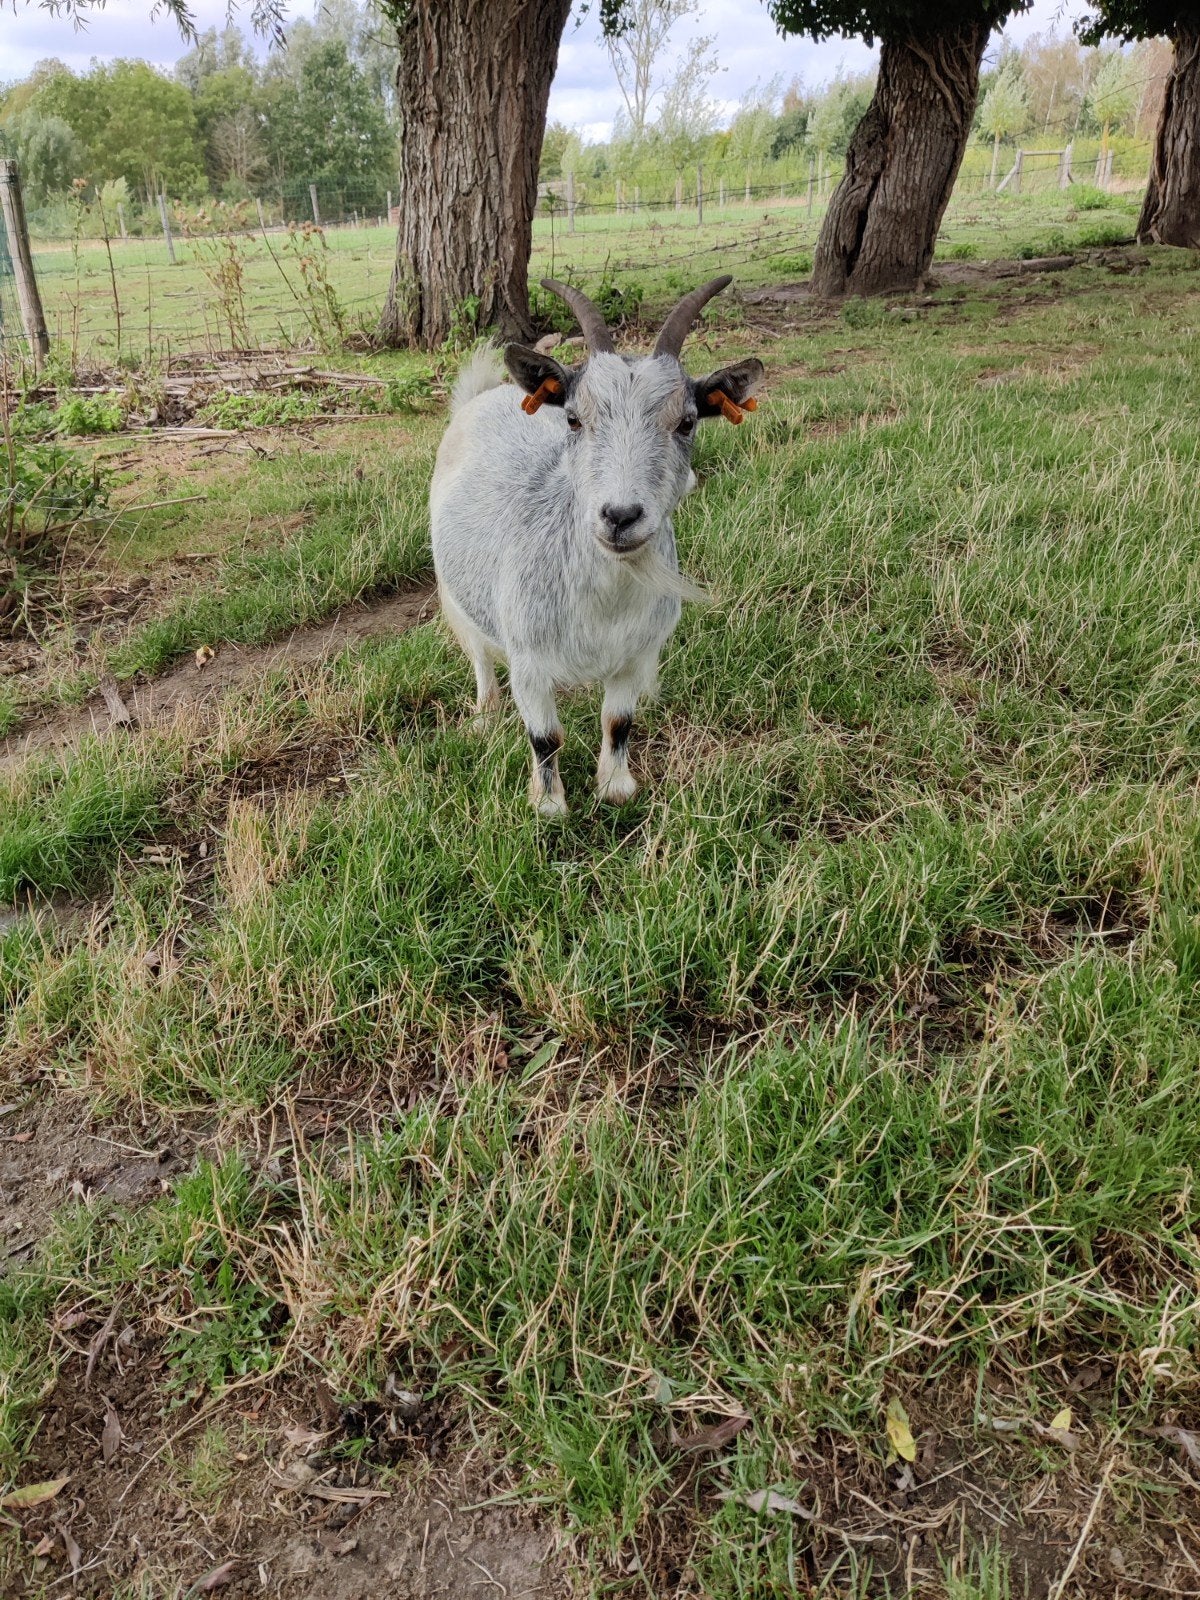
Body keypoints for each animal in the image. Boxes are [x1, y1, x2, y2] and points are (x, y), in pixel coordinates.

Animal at [430, 276, 763, 815]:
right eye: (573, 419)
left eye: (687, 421)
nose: (620, 516)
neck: (602, 602)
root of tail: (484, 397)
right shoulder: (528, 660)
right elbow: (545, 737)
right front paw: (549, 808)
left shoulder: (634, 655)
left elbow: (617, 722)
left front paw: (615, 787)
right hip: (454, 588)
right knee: (477, 652)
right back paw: (484, 715)